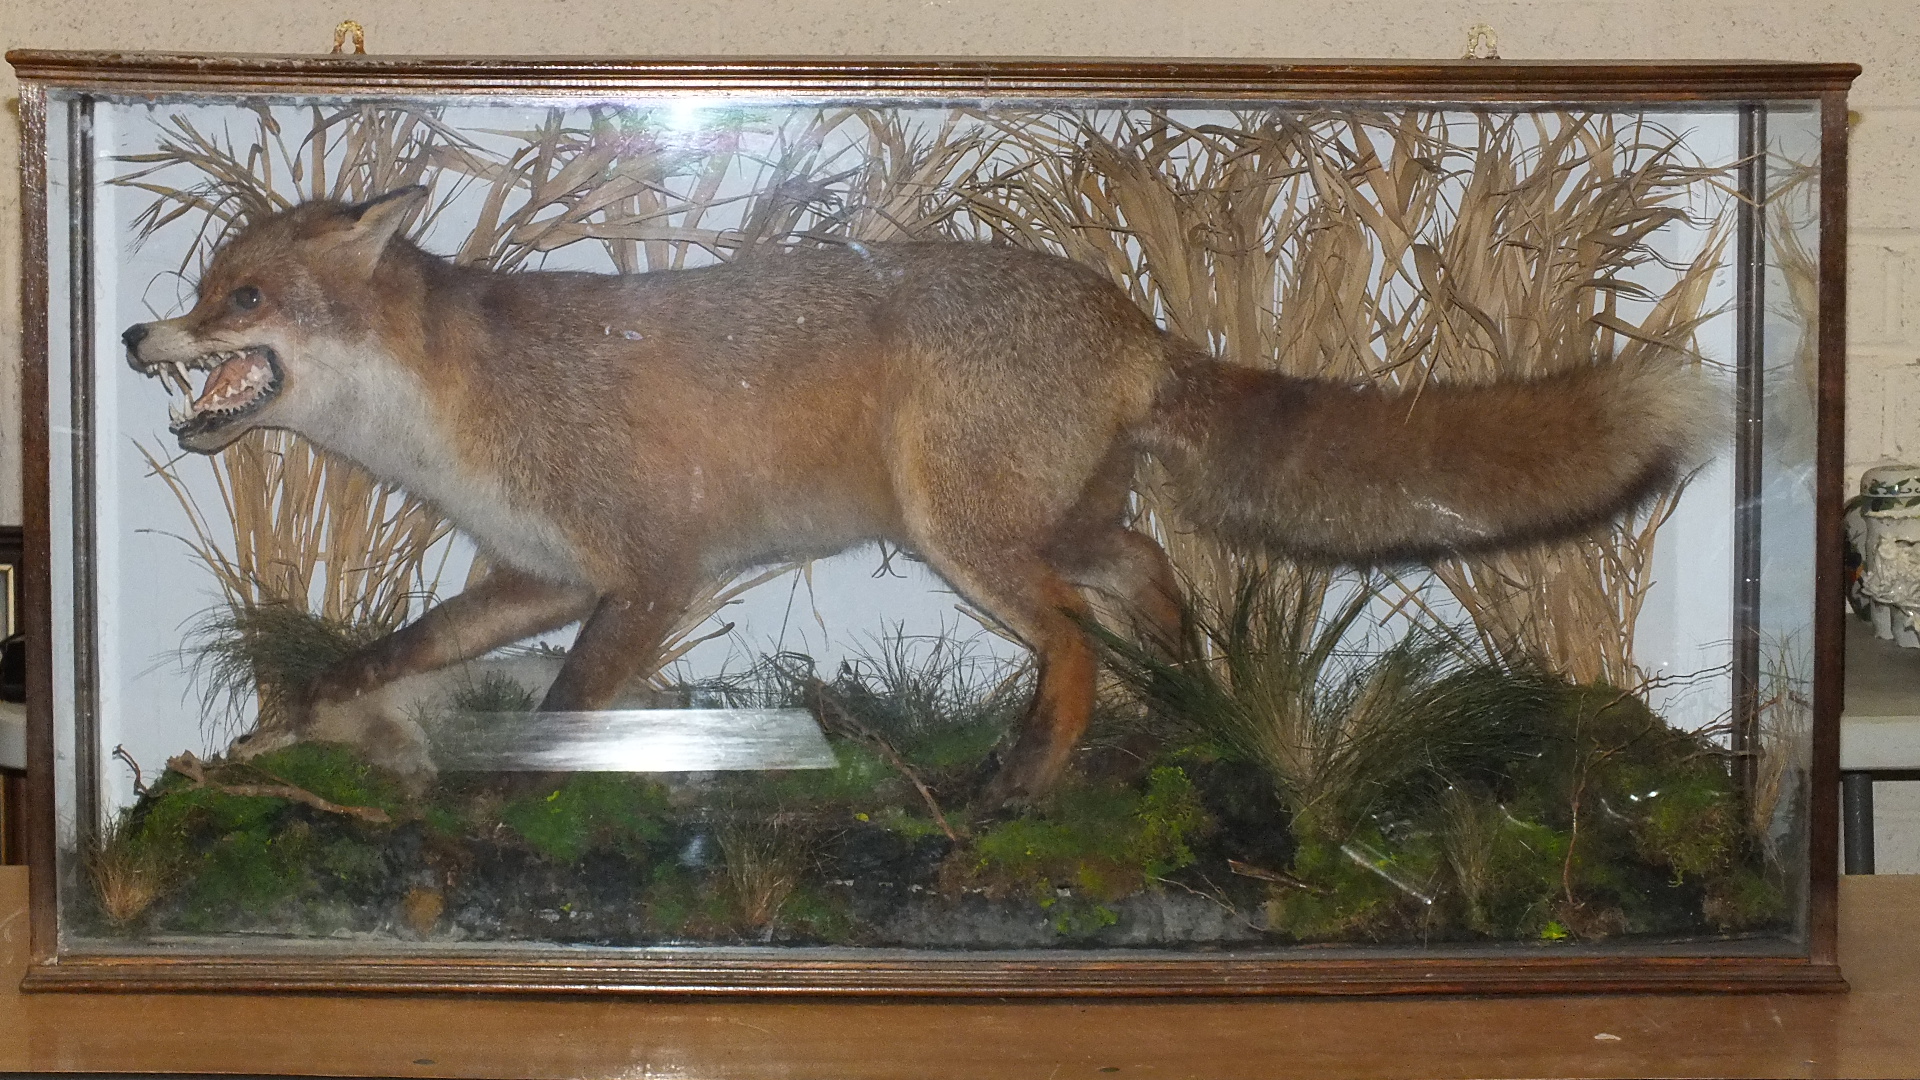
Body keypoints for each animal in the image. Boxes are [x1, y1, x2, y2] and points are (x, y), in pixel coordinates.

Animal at [120, 184, 1712, 799]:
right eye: (199, 289)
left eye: (240, 297)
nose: (137, 337)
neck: (459, 413)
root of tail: (1135, 321)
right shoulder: (538, 574)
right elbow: (379, 658)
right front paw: (280, 731)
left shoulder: (650, 570)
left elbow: (573, 709)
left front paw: (515, 802)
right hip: (1043, 518)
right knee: (1146, 571)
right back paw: (1182, 714)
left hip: (965, 537)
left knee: (1073, 631)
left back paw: (1033, 772)